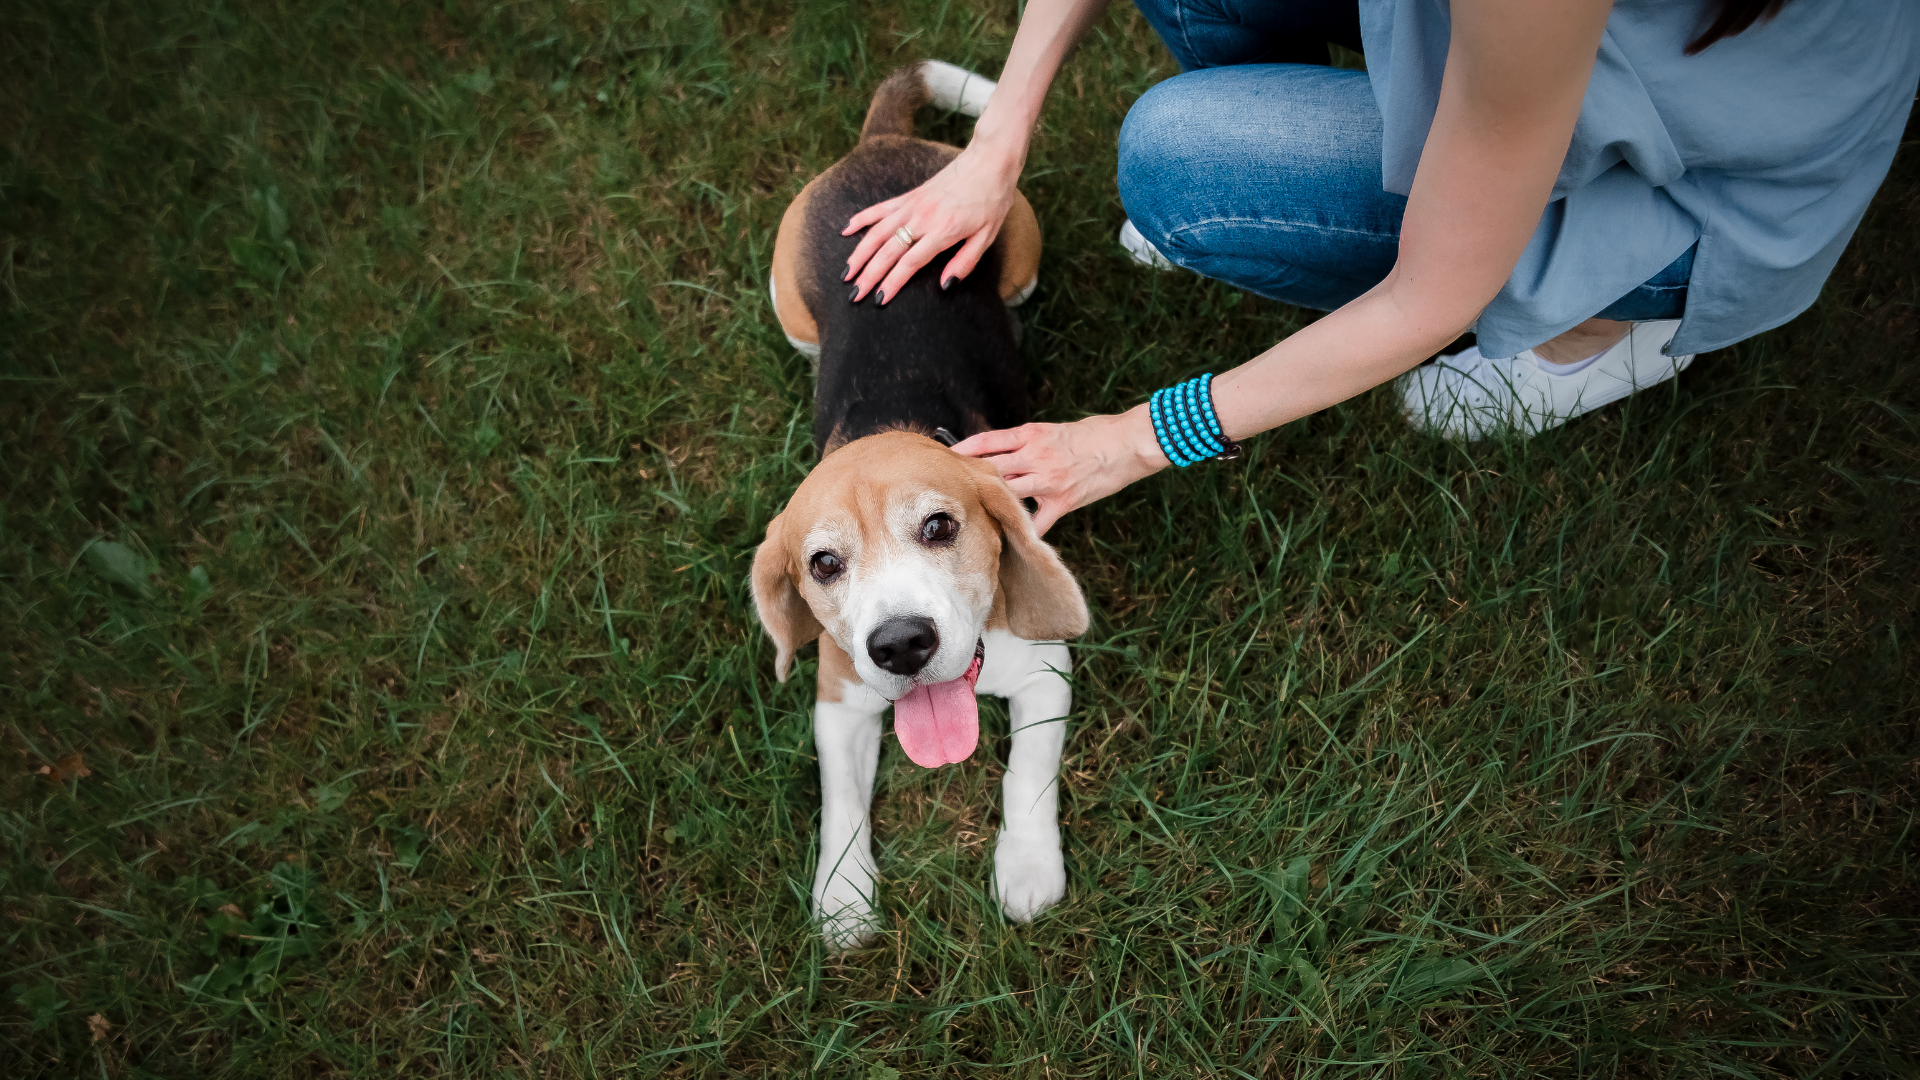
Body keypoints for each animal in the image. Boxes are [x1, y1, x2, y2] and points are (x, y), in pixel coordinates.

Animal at [752, 62, 1090, 945]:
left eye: (941, 525)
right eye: (823, 564)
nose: (901, 645)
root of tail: (882, 146)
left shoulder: (1046, 671)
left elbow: (1026, 775)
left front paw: (1027, 869)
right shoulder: (839, 700)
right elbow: (841, 799)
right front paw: (843, 895)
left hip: (1021, 250)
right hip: (787, 304)